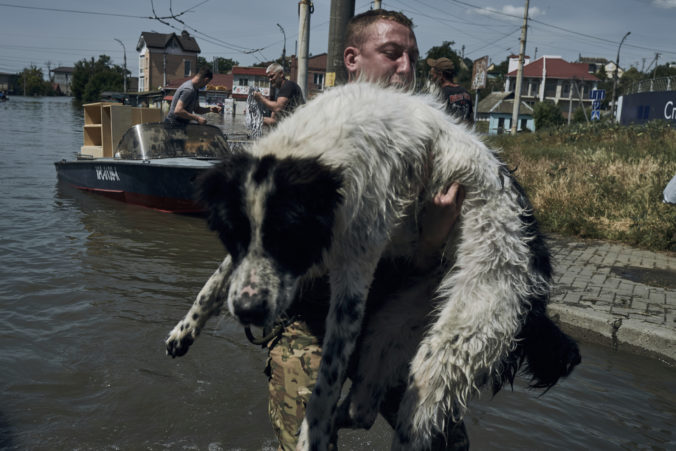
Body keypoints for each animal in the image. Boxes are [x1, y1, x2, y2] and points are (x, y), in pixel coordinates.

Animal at [165, 83, 580, 450]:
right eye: (232, 235)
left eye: (288, 238)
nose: (249, 311)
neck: (316, 148)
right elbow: (216, 281)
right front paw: (185, 330)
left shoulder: (353, 276)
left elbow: (326, 382)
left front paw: (312, 434)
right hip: (390, 328)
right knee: (363, 408)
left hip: (456, 343)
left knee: (411, 423)